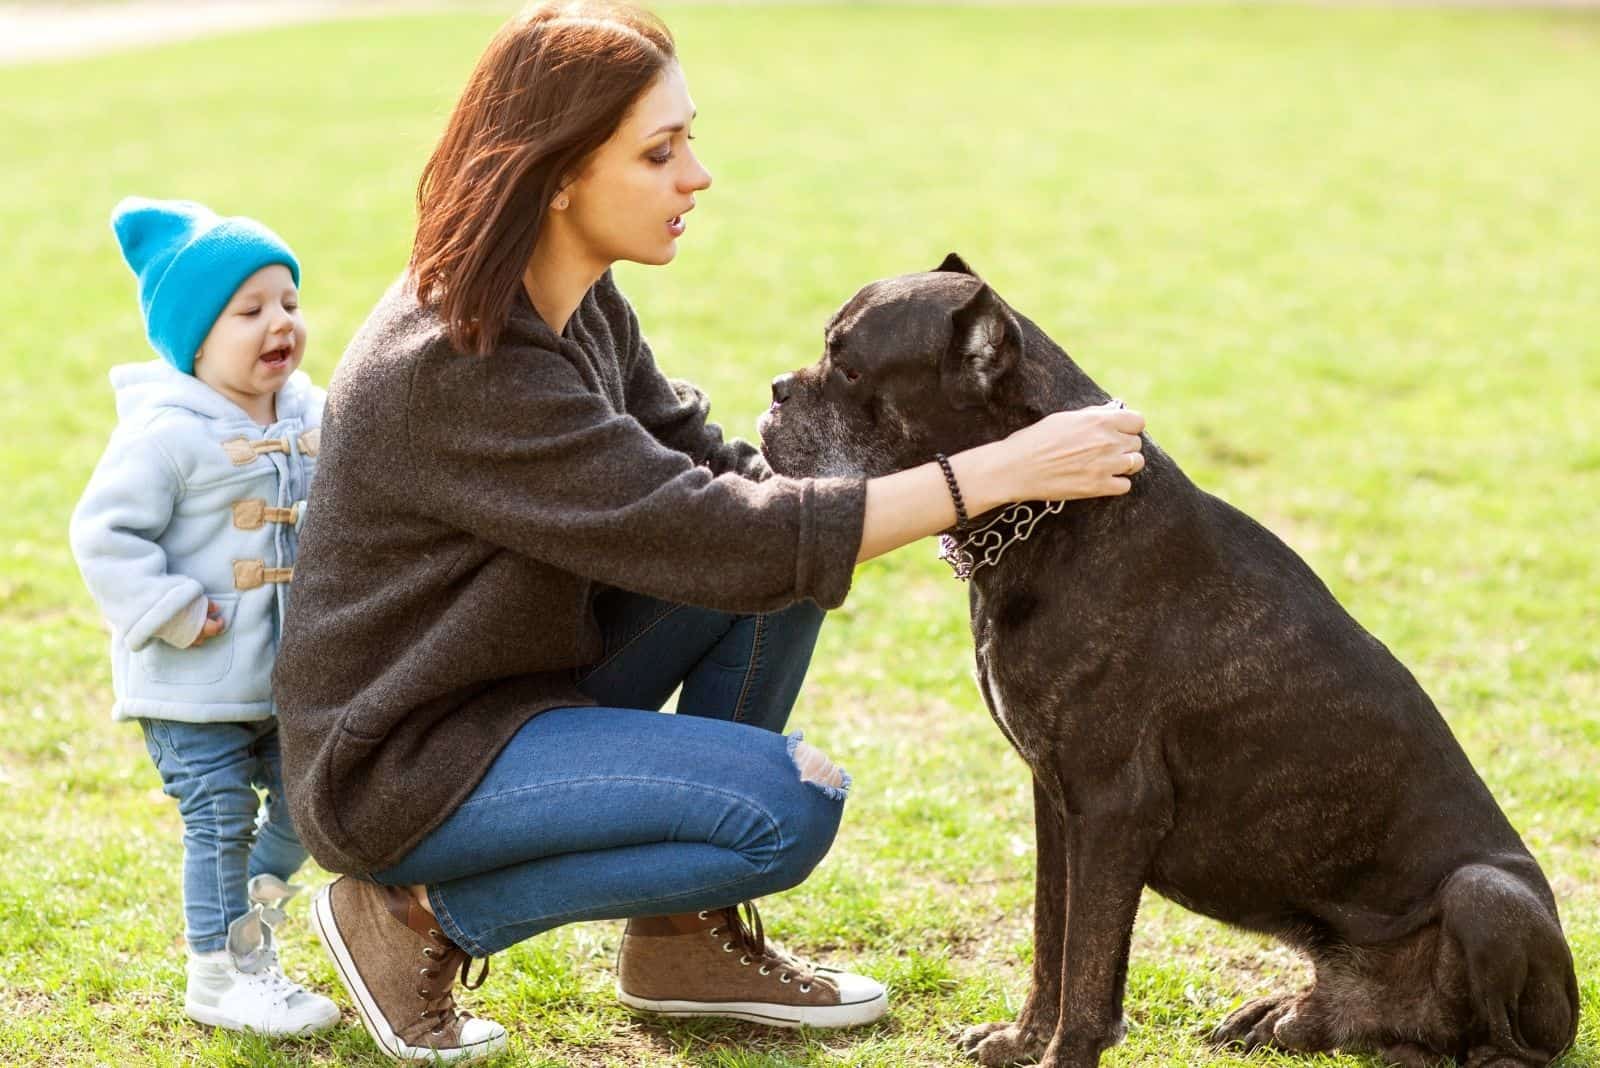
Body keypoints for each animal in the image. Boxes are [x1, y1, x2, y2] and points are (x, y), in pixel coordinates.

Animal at [755, 255, 1580, 1068]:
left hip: (1486, 894)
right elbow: (1052, 940)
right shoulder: (1057, 803)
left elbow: (1087, 968)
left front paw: (1061, 1054)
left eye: (848, 367)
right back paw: (1289, 1015)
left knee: (1509, 1043)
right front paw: (1020, 1041)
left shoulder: (1114, 806)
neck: (1048, 517)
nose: (775, 389)